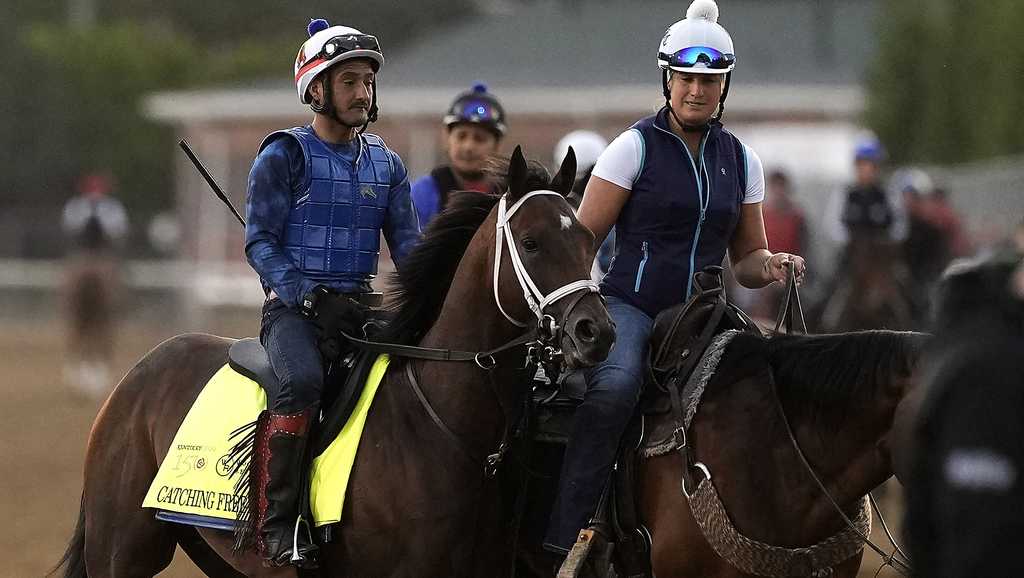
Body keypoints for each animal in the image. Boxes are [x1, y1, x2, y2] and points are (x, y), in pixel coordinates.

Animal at [58, 147, 614, 578]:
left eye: (589, 240)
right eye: (532, 243)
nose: (596, 332)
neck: (442, 425)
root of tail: (138, 374)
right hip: (123, 551)